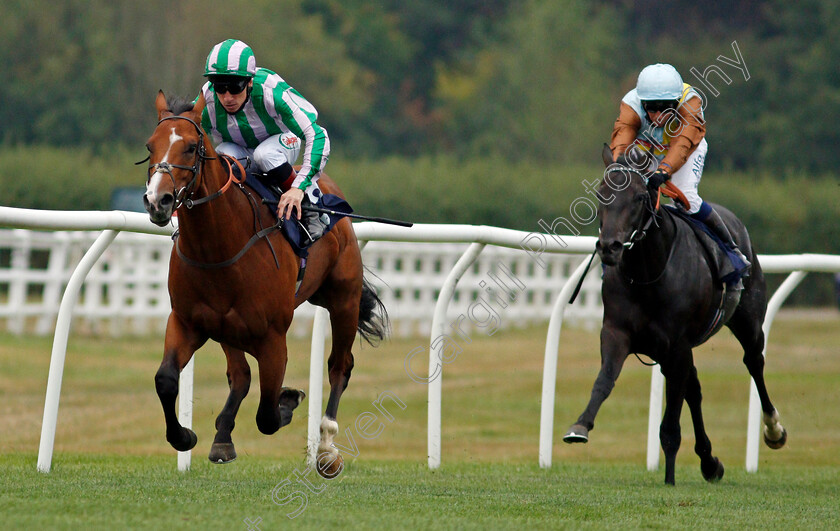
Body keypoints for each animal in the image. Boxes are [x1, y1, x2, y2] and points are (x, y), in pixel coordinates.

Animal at [141, 89, 388, 476]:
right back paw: (223, 436)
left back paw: (327, 448)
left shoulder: (273, 338)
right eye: (150, 146)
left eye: (191, 148)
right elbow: (167, 379)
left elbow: (268, 414)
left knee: (339, 366)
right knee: (240, 374)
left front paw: (289, 400)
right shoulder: (188, 321)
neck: (220, 247)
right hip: (230, 327)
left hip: (343, 300)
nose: (158, 201)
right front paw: (185, 436)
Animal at [564, 145, 788, 486]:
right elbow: (605, 379)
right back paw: (709, 462)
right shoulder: (617, 332)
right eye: (602, 194)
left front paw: (669, 477)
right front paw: (580, 426)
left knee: (753, 362)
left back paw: (773, 430)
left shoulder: (676, 346)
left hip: (748, 321)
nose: (609, 247)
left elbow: (670, 419)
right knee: (694, 388)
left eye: (639, 197)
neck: (648, 274)